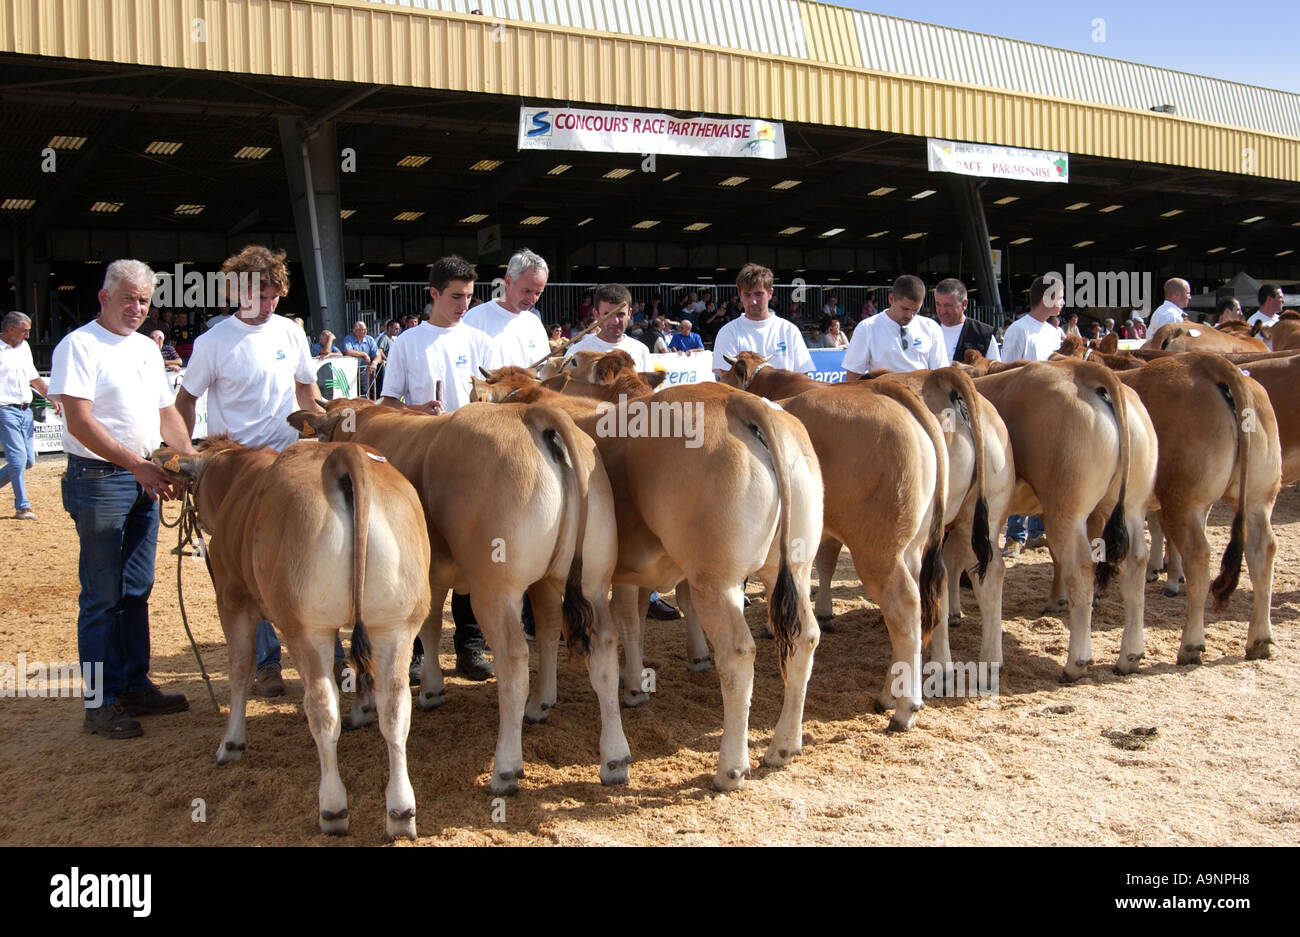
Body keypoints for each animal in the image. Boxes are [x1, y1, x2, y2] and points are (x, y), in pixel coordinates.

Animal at [147, 439, 431, 842]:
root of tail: (343, 454)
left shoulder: (232, 600)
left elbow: (240, 669)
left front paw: (230, 743)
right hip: (398, 624)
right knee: (394, 708)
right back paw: (401, 812)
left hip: (305, 629)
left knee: (323, 709)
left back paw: (333, 808)